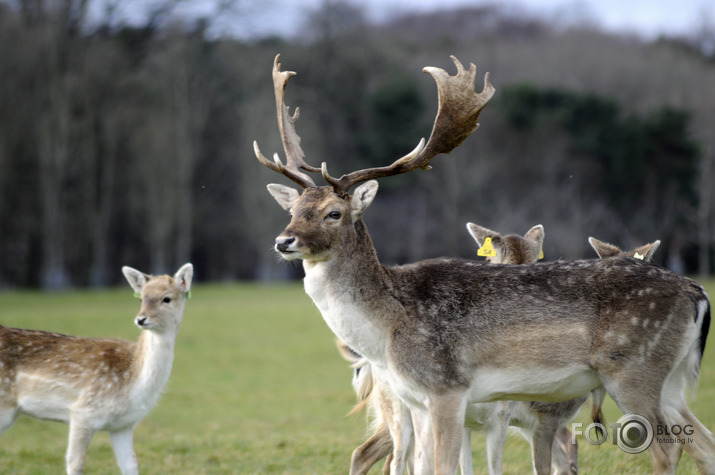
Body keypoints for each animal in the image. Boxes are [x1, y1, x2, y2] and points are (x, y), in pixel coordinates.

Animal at [0, 262, 193, 474]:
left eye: (166, 298)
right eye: (141, 298)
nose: (141, 319)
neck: (133, 381)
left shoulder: (123, 425)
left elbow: (131, 465)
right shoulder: (83, 412)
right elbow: (75, 464)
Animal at [255, 54, 712, 474]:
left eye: (333, 213)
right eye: (294, 209)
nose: (283, 241)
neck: (387, 331)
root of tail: (697, 293)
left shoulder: (447, 387)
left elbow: (444, 467)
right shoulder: (416, 401)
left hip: (633, 369)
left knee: (667, 447)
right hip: (670, 380)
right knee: (702, 443)